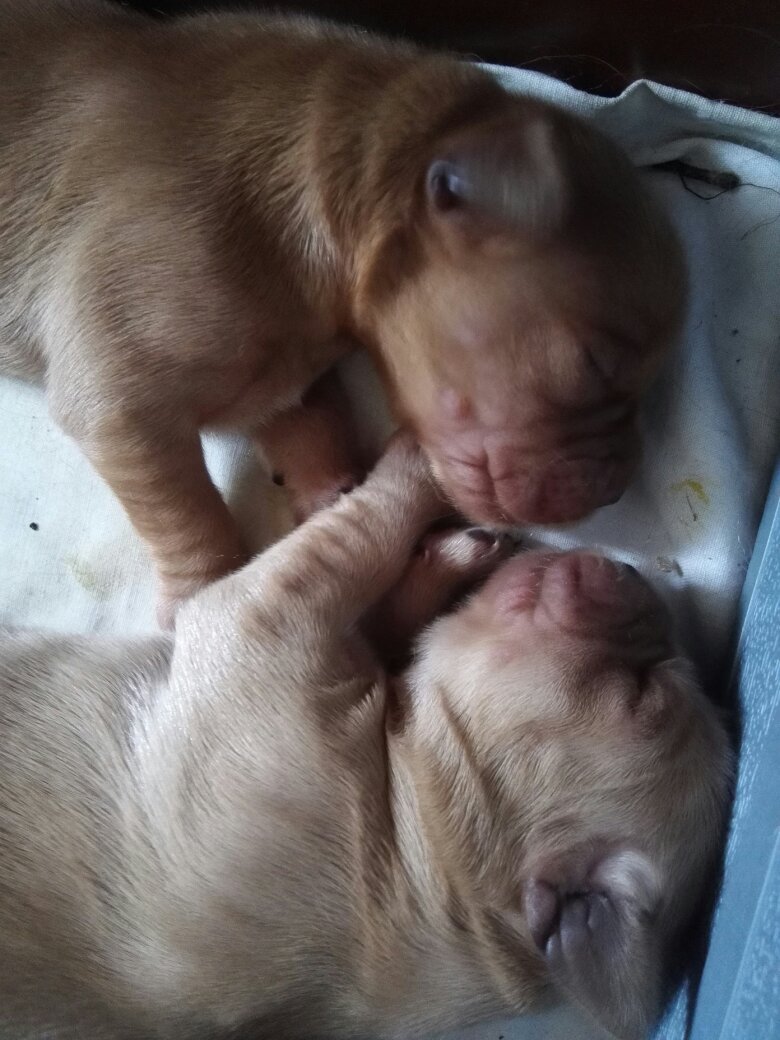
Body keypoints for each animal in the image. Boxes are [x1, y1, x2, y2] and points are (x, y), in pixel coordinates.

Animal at [0, 0, 686, 623]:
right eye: (594, 363)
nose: (618, 491)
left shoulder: (287, 377)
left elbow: (314, 423)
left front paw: (336, 498)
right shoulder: (119, 399)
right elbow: (188, 512)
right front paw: (202, 593)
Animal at [0, 436, 731, 1040]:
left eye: (647, 694)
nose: (637, 574)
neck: (428, 853)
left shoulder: (264, 615)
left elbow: (353, 535)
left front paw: (418, 456)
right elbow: (384, 606)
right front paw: (458, 555)